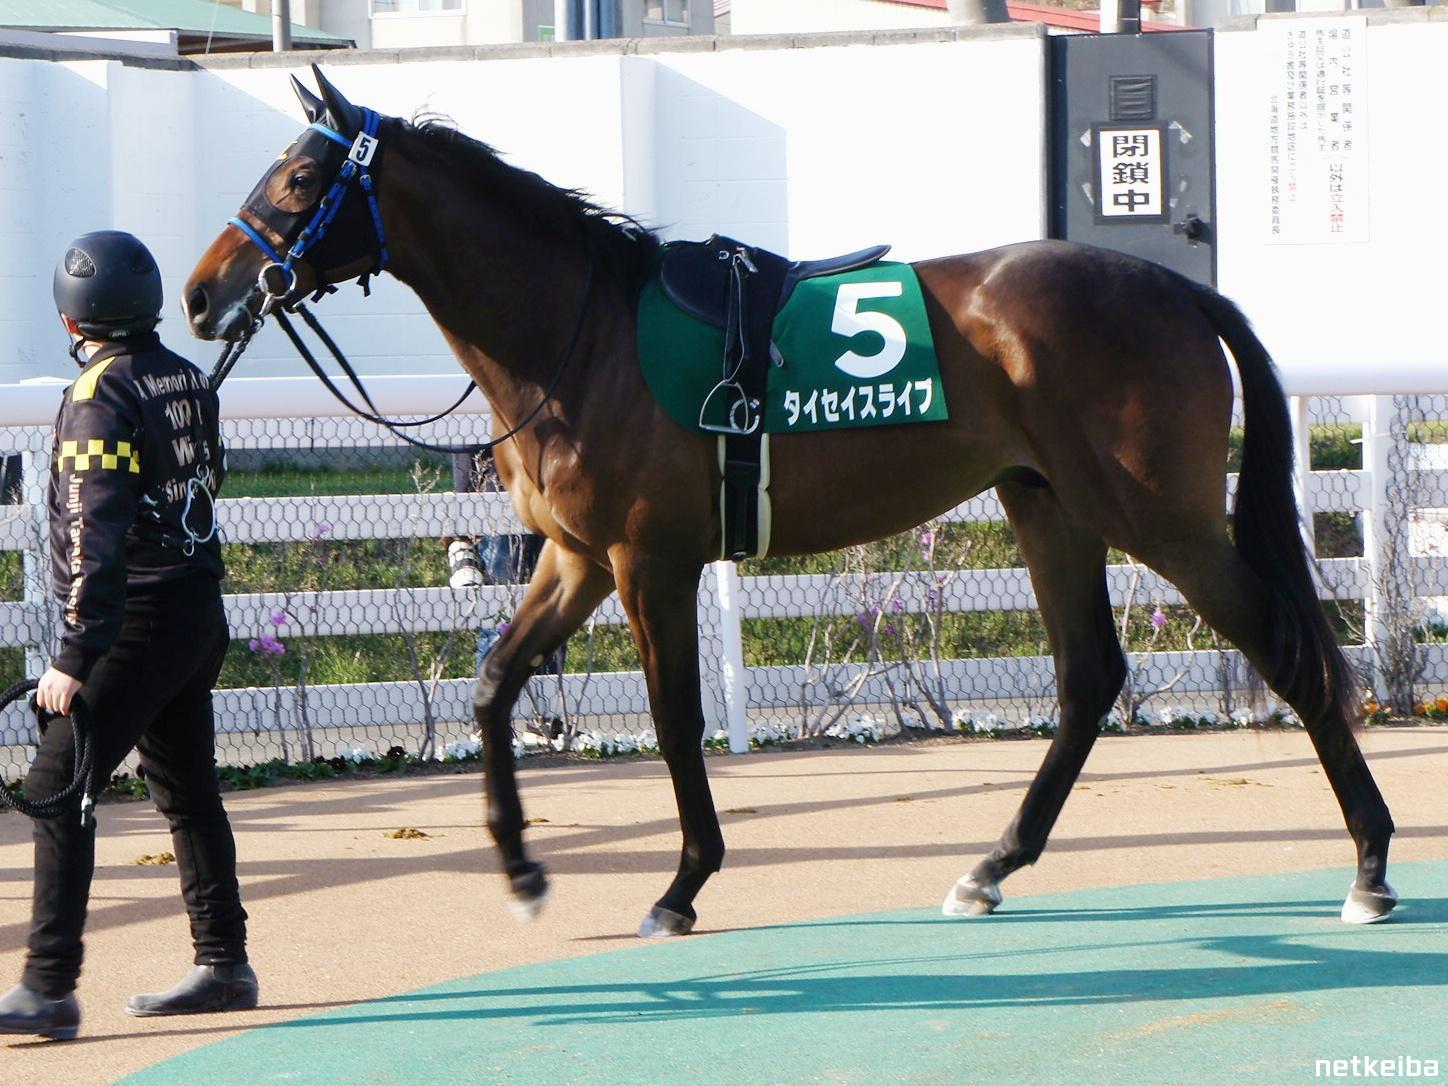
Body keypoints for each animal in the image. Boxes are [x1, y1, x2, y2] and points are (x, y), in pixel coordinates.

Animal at [183, 67, 1398, 936]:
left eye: (299, 182)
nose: (201, 295)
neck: (580, 330)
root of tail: (1178, 289)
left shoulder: (648, 561)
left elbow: (675, 720)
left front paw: (681, 884)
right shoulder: (574, 558)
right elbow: (491, 686)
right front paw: (523, 868)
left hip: (1156, 515)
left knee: (1285, 651)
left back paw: (1373, 865)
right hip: (1046, 503)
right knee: (1090, 676)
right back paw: (990, 866)